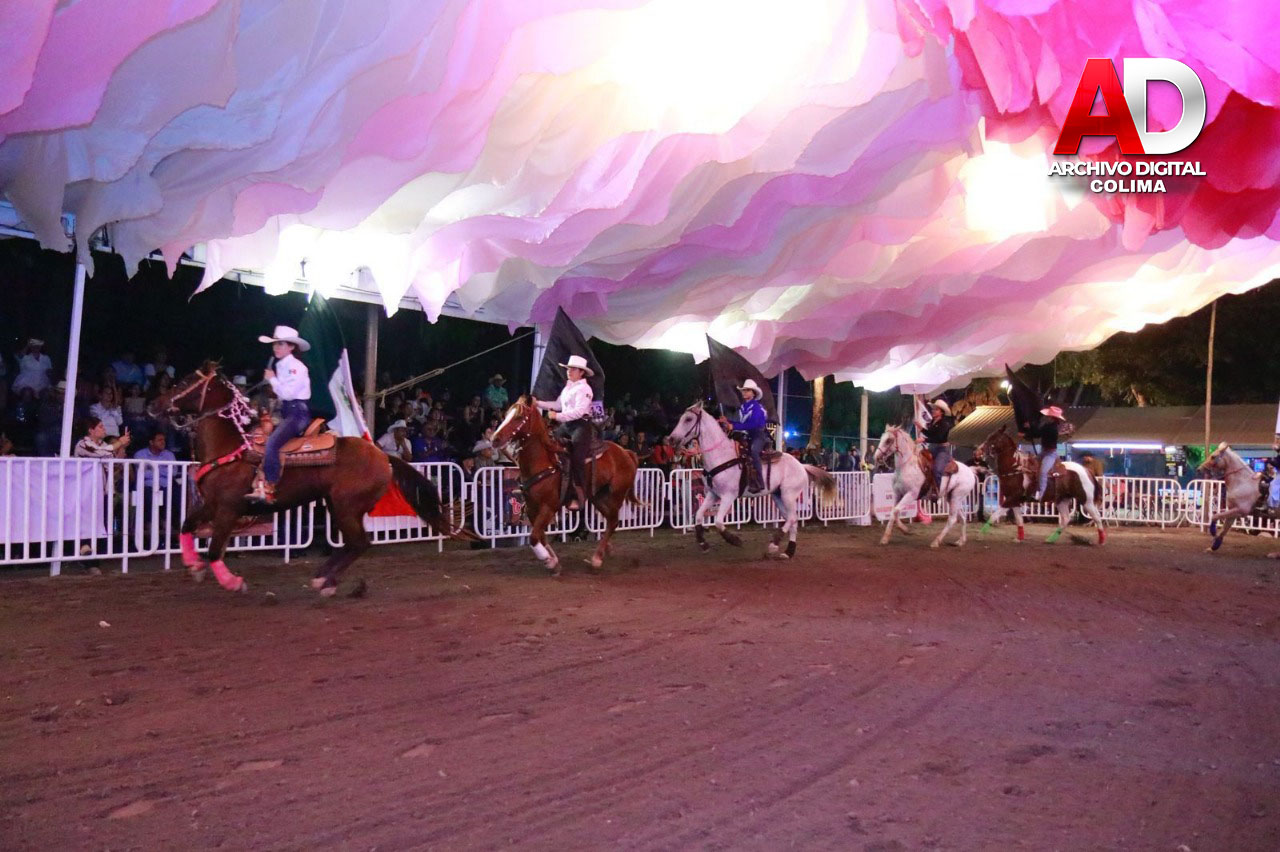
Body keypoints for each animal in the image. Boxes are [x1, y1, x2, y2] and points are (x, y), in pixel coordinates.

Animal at [153, 366, 469, 596]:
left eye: (186, 382)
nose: (155, 405)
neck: (231, 447)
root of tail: (383, 456)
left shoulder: (228, 509)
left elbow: (215, 549)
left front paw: (232, 582)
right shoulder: (212, 505)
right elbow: (186, 526)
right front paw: (194, 566)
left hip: (345, 506)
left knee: (359, 543)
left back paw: (324, 582)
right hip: (337, 505)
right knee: (354, 544)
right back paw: (325, 579)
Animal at [491, 395, 640, 575]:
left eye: (519, 416)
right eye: (507, 414)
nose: (495, 439)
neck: (544, 461)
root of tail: (627, 453)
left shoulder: (548, 507)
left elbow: (533, 537)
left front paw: (548, 561)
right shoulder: (532, 509)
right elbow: (540, 536)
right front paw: (554, 561)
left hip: (615, 496)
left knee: (613, 522)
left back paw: (597, 559)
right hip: (598, 497)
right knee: (611, 521)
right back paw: (605, 551)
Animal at [666, 402, 836, 559]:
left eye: (688, 419)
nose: (670, 439)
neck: (721, 456)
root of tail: (801, 465)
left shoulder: (729, 496)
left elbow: (719, 522)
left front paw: (734, 540)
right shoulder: (712, 494)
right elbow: (699, 516)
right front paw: (703, 543)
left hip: (789, 495)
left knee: (793, 518)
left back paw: (774, 545)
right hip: (778, 496)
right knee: (792, 520)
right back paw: (788, 551)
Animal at [973, 424, 1105, 545]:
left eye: (993, 438)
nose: (978, 451)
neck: (1015, 468)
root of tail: (1086, 470)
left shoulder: (1011, 499)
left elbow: (994, 516)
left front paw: (979, 535)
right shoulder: (1014, 500)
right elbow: (1019, 520)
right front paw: (1019, 538)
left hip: (1086, 500)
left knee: (1097, 517)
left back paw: (1101, 541)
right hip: (1062, 500)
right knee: (1066, 519)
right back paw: (1051, 539)